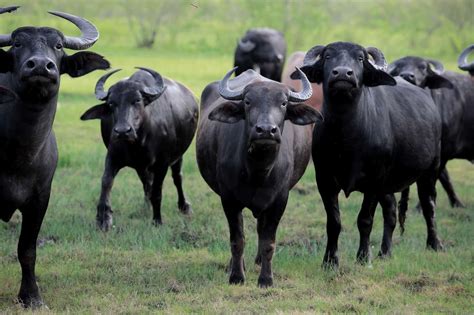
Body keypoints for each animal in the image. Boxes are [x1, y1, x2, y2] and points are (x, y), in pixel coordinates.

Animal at [0, 6, 109, 308]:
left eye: (58, 46)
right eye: (17, 44)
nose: (40, 66)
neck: (19, 152)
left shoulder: (40, 199)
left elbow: (27, 249)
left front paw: (32, 297)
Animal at [81, 67, 198, 230]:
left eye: (137, 100)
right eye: (111, 103)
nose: (122, 131)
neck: (139, 143)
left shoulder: (162, 163)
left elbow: (157, 191)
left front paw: (157, 220)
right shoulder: (113, 156)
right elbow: (106, 182)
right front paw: (103, 218)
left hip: (178, 156)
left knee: (177, 177)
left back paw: (184, 206)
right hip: (141, 167)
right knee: (146, 182)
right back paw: (146, 207)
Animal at [194, 68, 320, 288]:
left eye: (284, 102)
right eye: (247, 101)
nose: (266, 130)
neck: (258, 170)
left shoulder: (279, 200)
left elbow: (268, 241)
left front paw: (266, 279)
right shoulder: (229, 199)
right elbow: (237, 240)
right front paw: (236, 276)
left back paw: (259, 260)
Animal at [294, 42, 442, 268]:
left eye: (360, 58)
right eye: (327, 56)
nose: (342, 73)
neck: (345, 137)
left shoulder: (374, 180)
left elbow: (365, 220)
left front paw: (363, 257)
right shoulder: (325, 180)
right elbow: (334, 222)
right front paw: (330, 261)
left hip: (430, 171)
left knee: (429, 206)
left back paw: (434, 244)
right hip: (388, 184)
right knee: (391, 212)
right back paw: (385, 251)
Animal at [388, 53, 474, 225]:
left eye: (423, 67)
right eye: (399, 67)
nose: (407, 75)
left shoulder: (444, 150)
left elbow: (436, 179)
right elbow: (444, 178)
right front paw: (457, 204)